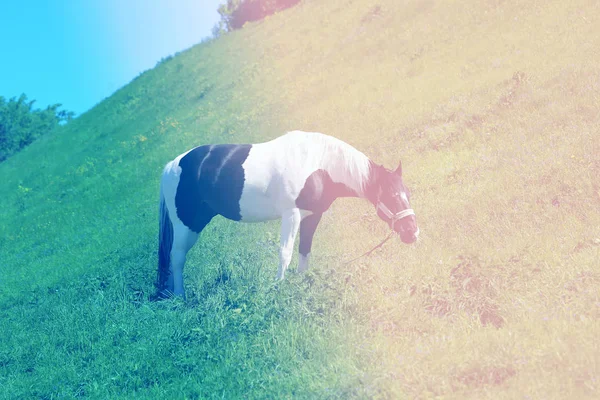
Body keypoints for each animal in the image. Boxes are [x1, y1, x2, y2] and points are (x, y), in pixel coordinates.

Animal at [156, 130, 418, 296]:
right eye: (392, 196)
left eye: (408, 193)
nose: (412, 233)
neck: (318, 164)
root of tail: (172, 165)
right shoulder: (291, 215)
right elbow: (286, 253)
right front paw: (278, 287)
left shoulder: (312, 216)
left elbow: (304, 252)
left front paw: (301, 285)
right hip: (185, 224)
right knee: (177, 256)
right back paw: (180, 296)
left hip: (197, 222)